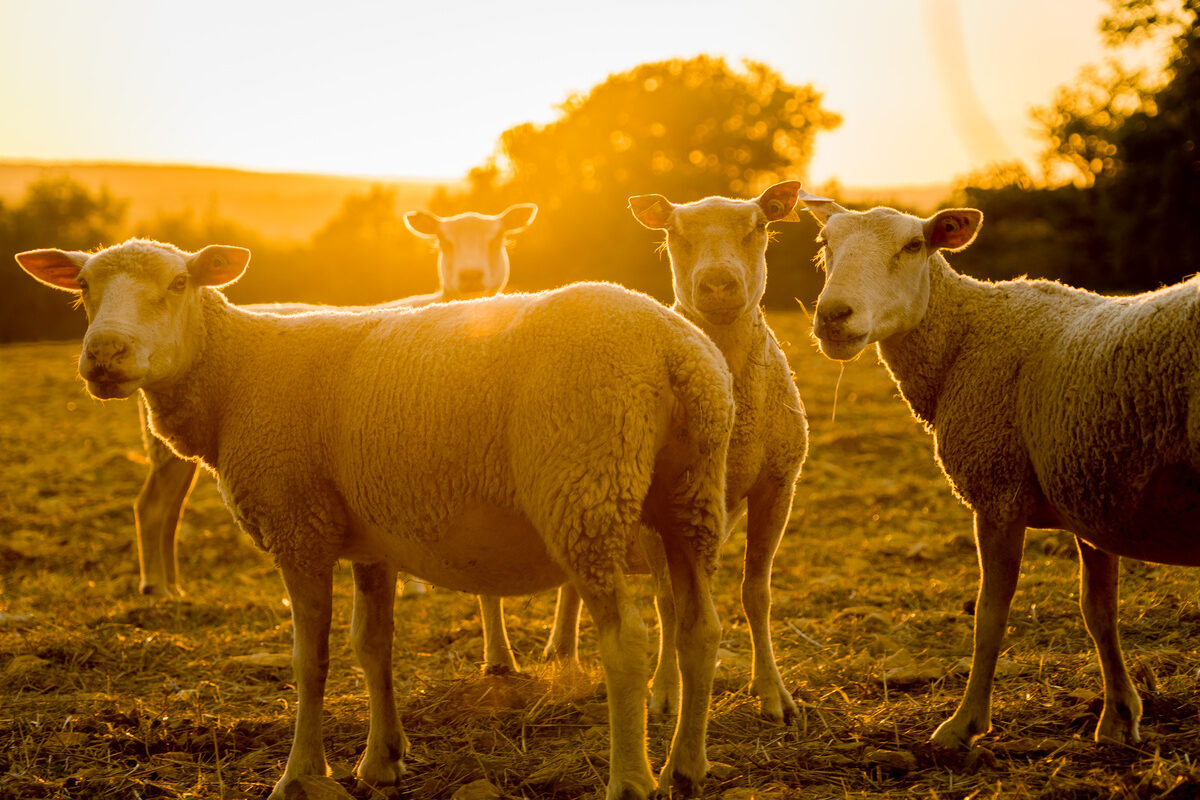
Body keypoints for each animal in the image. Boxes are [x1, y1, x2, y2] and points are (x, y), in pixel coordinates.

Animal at [132, 205, 540, 599]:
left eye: (498, 238)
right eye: (443, 241)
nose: (471, 276)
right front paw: (415, 588)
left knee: (170, 510)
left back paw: (174, 585)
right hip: (165, 449)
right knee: (152, 507)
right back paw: (155, 586)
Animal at [801, 199, 1200, 753]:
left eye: (913, 246)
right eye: (825, 245)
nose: (833, 315)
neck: (963, 339)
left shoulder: (998, 492)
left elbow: (989, 616)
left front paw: (963, 724)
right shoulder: (1089, 489)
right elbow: (1100, 612)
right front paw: (1120, 718)